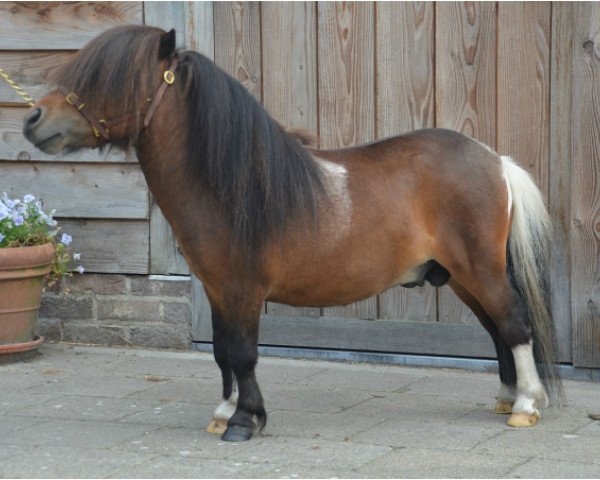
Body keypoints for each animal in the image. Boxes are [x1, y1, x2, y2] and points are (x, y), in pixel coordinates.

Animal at [21, 24, 560, 440]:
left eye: (110, 78)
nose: (32, 119)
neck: (230, 183)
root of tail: (495, 160)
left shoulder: (242, 288)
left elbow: (243, 352)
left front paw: (245, 421)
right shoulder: (217, 288)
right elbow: (223, 350)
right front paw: (224, 413)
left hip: (479, 270)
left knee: (514, 325)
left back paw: (526, 406)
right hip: (463, 276)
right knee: (498, 329)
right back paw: (507, 397)